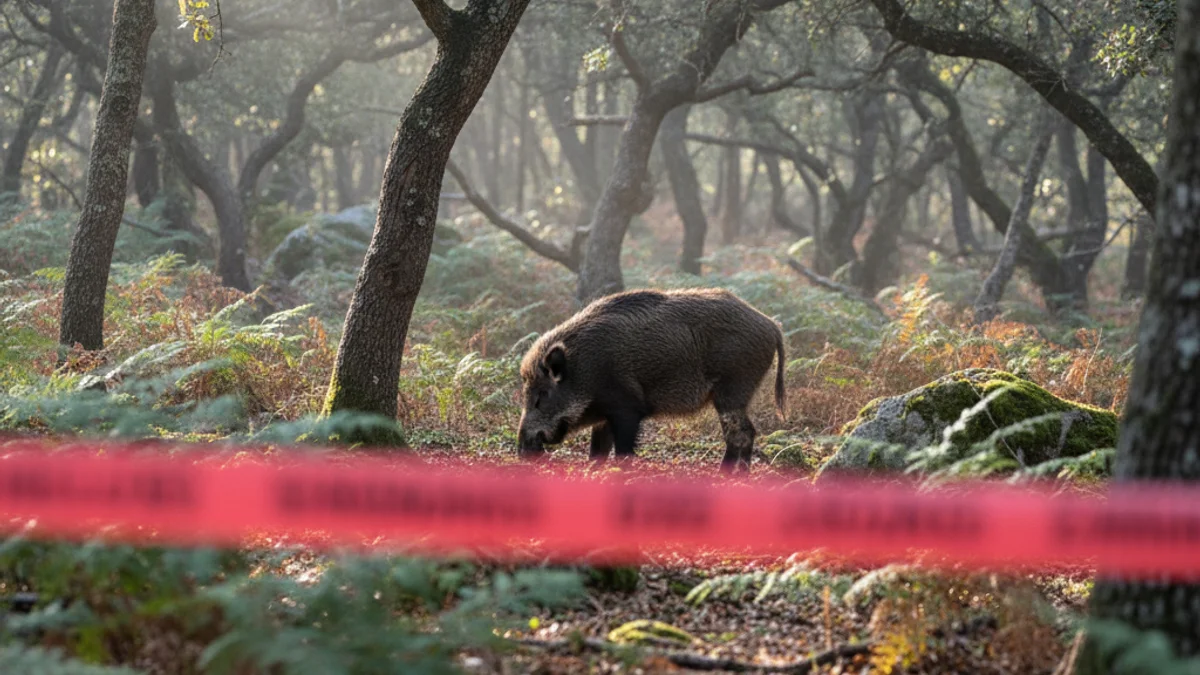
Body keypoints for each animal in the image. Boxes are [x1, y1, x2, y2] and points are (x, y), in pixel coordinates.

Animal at [516, 287, 786, 473]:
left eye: (542, 396)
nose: (522, 451)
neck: (584, 371)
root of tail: (771, 325)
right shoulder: (604, 415)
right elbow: (597, 451)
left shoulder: (627, 409)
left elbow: (623, 450)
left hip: (732, 389)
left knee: (741, 432)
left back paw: (726, 475)